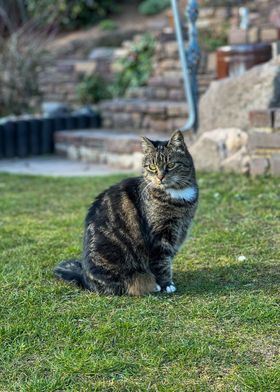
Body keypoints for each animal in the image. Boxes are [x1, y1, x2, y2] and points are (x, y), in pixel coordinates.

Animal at [54, 130, 199, 296]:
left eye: (171, 165)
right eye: (152, 167)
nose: (160, 177)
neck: (177, 194)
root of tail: (85, 279)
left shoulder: (179, 230)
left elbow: (167, 260)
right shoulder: (159, 237)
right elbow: (162, 263)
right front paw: (166, 284)